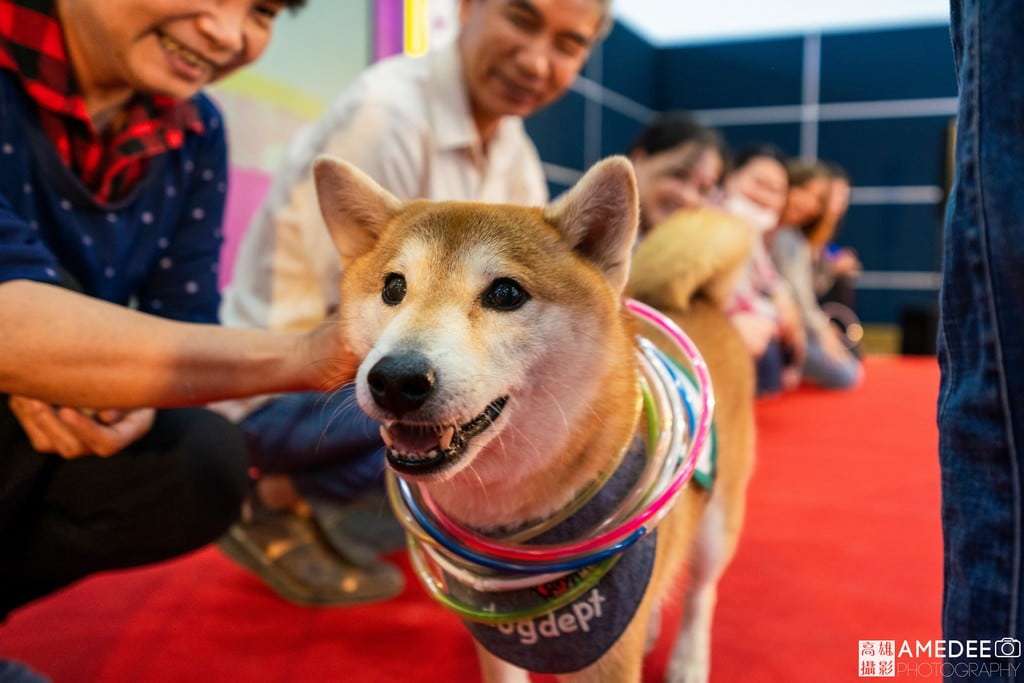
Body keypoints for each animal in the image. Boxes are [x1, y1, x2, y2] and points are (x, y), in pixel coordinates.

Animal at [315, 154, 757, 683]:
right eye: (393, 287)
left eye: (505, 293)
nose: (397, 379)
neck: (507, 507)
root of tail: (699, 299)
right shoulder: (497, 640)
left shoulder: (606, 656)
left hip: (718, 523)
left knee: (701, 592)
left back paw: (689, 659)